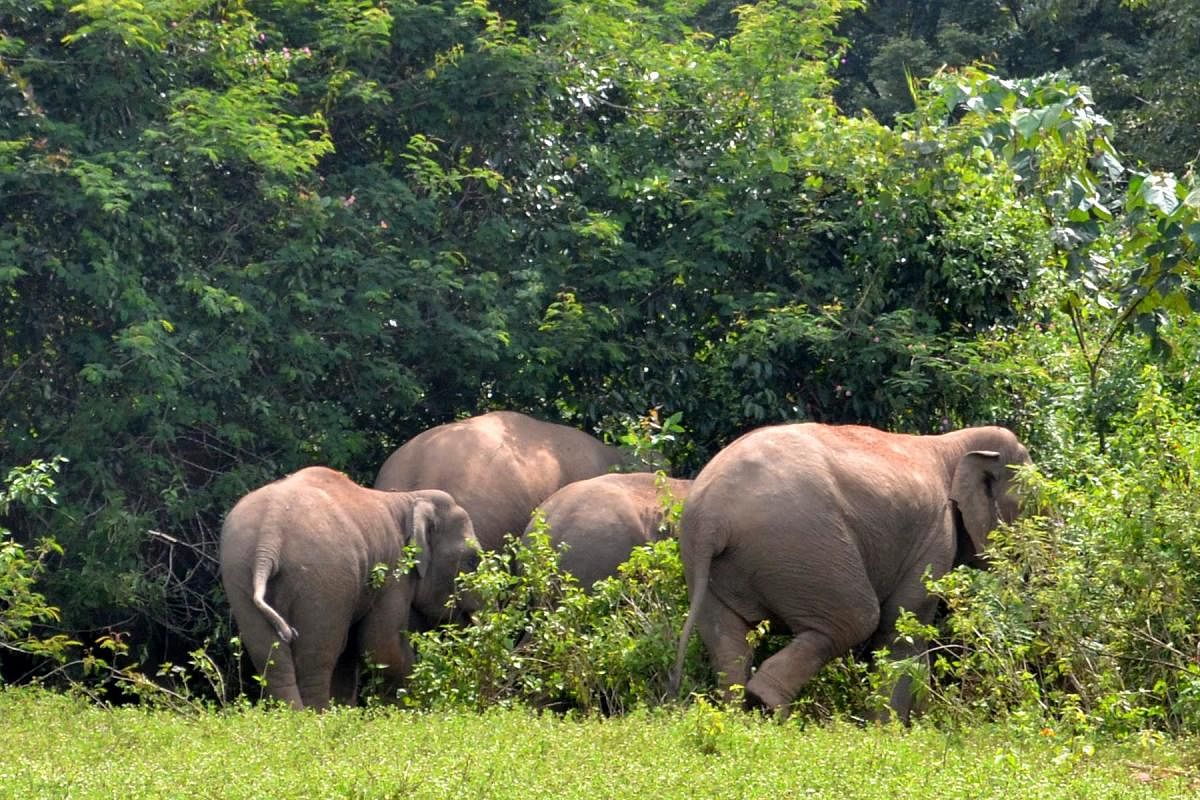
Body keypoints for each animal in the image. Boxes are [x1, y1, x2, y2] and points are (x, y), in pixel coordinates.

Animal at [218, 465, 480, 710]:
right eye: (472, 561)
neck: (408, 499)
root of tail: (269, 538)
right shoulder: (393, 571)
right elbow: (382, 645)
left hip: (239, 573)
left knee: (271, 659)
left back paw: (295, 716)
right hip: (322, 580)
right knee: (317, 658)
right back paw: (318, 716)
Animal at [672, 422, 1027, 724]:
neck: (954, 444)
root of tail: (711, 517)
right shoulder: (936, 537)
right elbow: (902, 629)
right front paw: (888, 730)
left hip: (712, 562)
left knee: (728, 642)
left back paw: (739, 717)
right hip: (806, 546)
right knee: (855, 620)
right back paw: (768, 706)